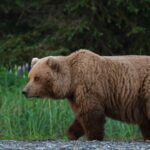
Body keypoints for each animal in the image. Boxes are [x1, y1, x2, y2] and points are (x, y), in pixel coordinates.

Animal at [22, 49, 150, 141]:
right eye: (29, 77)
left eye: (37, 78)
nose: (24, 91)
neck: (72, 80)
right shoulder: (75, 95)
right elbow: (81, 114)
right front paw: (72, 133)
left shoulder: (88, 86)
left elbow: (91, 113)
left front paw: (94, 136)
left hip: (145, 87)